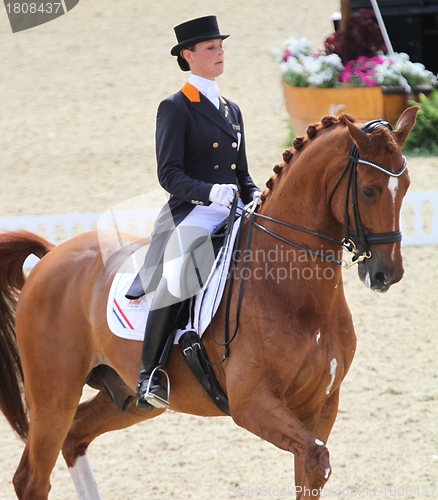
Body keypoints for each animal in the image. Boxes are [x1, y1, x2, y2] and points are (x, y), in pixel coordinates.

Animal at [0, 107, 418, 498]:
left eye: (406, 186)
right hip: (54, 397)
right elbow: (316, 457)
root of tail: (51, 255)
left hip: (127, 396)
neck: (295, 295)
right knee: (32, 477)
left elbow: (311, 472)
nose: (387, 273)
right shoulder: (251, 403)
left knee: (75, 437)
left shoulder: (322, 405)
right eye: (368, 190)